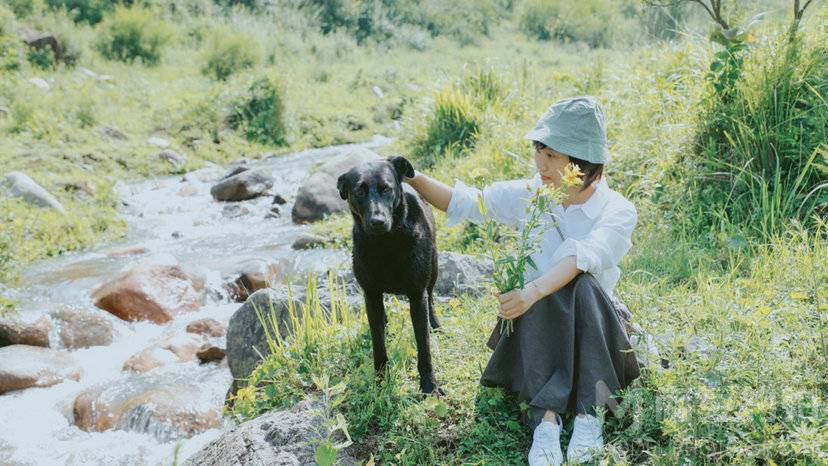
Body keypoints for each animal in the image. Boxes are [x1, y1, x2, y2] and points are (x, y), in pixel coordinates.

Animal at [336, 156, 444, 394]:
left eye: (386, 188)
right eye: (359, 191)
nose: (377, 221)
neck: (385, 243)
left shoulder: (417, 295)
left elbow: (424, 347)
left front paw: (429, 386)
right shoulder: (371, 294)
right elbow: (378, 344)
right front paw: (379, 381)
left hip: (433, 269)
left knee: (431, 297)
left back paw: (435, 324)